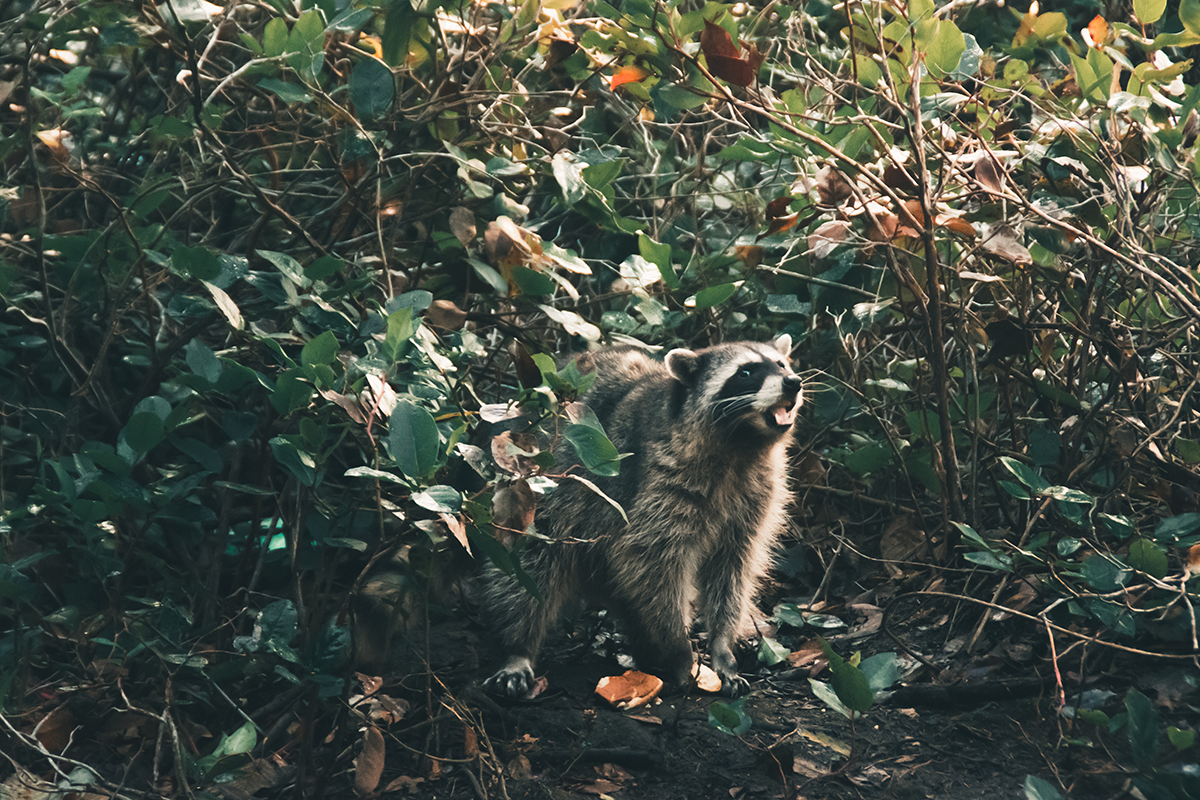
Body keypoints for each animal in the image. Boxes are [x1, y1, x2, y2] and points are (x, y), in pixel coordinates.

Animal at [480, 335, 806, 695]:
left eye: (782, 364)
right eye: (746, 372)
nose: (793, 382)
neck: (742, 444)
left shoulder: (756, 494)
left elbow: (732, 571)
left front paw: (723, 646)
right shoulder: (657, 478)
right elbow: (653, 562)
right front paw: (680, 648)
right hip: (534, 484)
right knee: (529, 567)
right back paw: (518, 646)